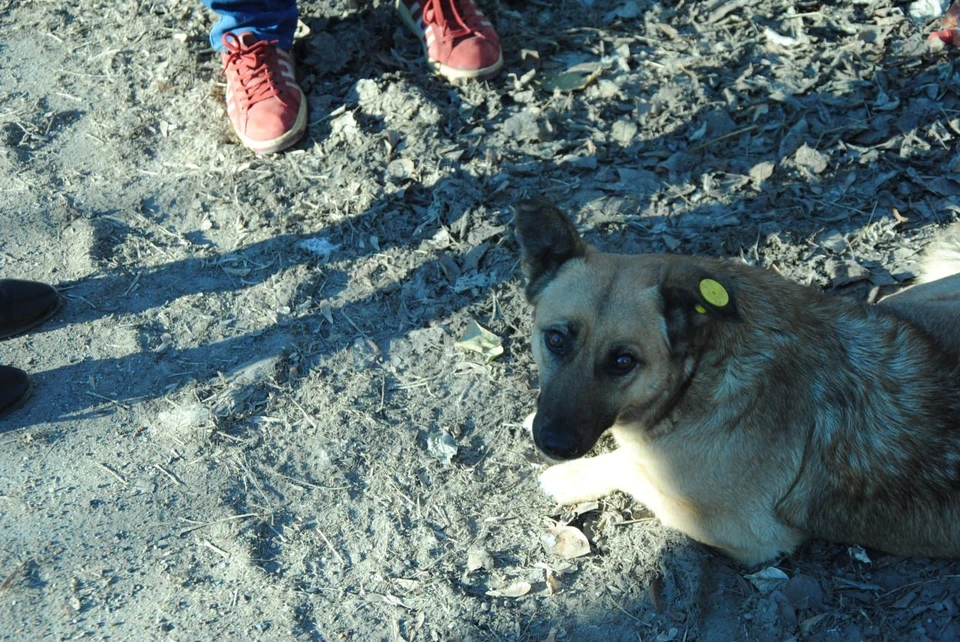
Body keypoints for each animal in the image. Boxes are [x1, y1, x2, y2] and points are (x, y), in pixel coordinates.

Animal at [512, 198, 960, 564]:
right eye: (555, 339)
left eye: (623, 361)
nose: (552, 443)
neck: (699, 369)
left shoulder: (744, 531)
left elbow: (632, 466)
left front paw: (571, 476)